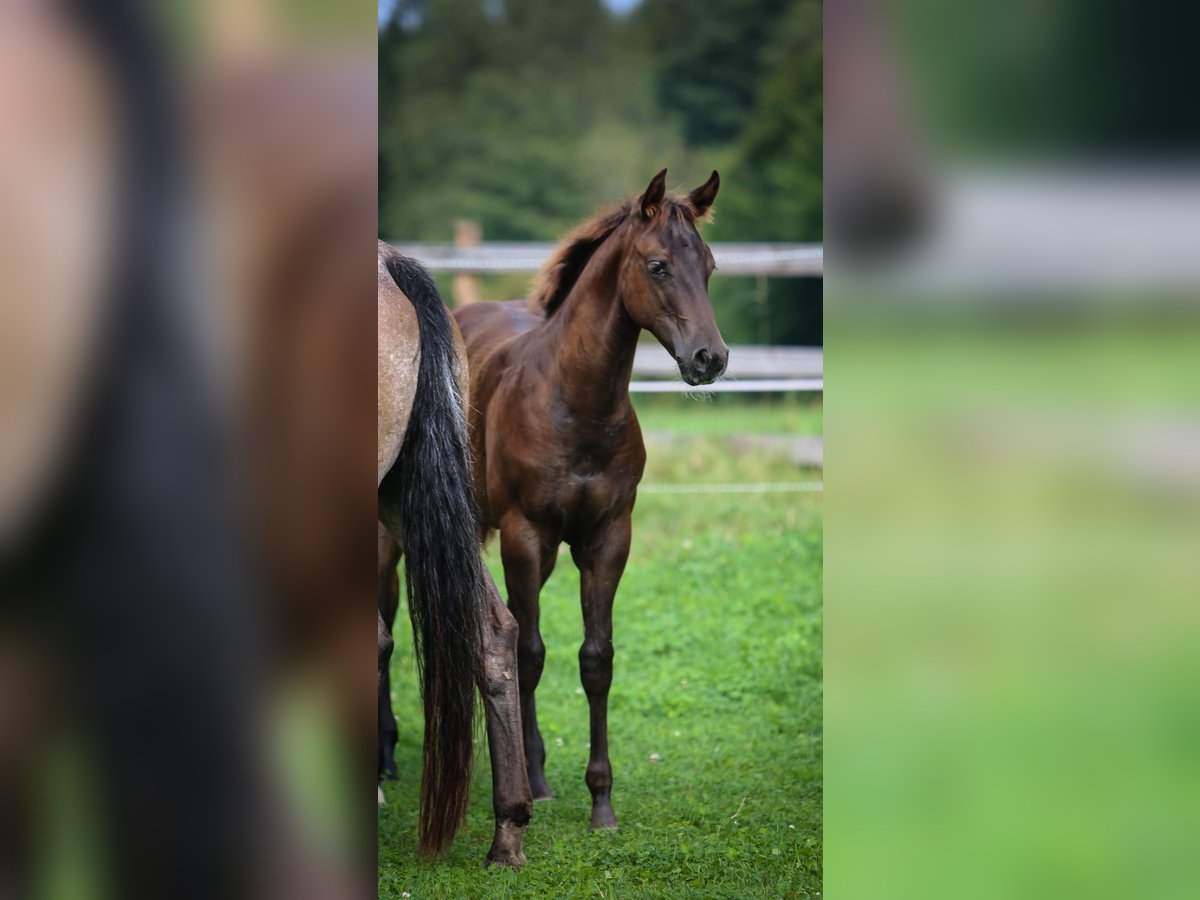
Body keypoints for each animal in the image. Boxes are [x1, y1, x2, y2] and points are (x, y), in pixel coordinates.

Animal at [453, 169, 724, 830]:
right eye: (657, 265)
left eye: (708, 264)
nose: (711, 358)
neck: (577, 404)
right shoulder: (526, 534)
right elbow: (529, 652)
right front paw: (532, 782)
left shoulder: (607, 537)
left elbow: (596, 658)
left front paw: (601, 801)